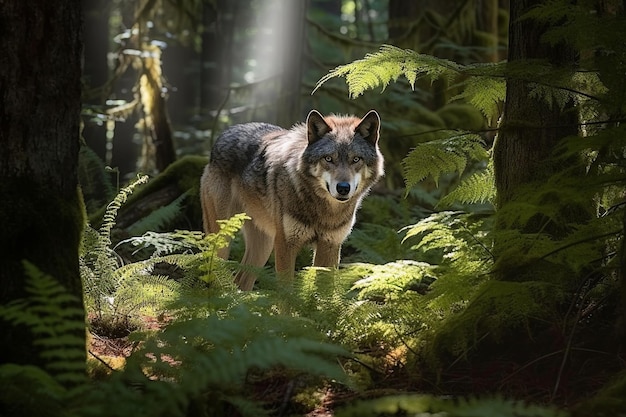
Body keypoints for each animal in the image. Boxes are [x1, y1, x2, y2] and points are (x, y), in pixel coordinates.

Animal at [200, 109, 382, 288]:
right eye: (328, 158)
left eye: (356, 159)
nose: (343, 188)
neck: (323, 211)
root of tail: (225, 133)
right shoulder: (286, 245)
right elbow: (287, 293)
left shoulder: (330, 246)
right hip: (223, 241)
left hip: (263, 247)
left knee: (240, 281)